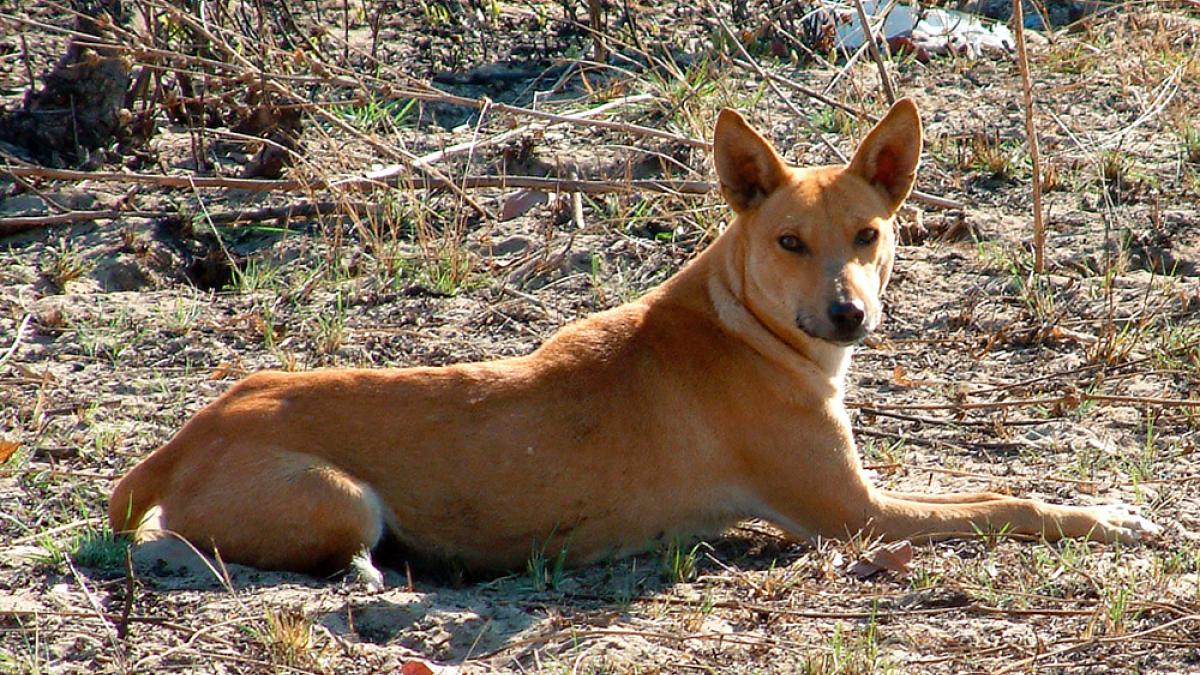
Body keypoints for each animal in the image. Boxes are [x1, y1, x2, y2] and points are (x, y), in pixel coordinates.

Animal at [108, 98, 1156, 571]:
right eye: (789, 240)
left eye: (868, 234)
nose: (850, 313)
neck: (744, 321)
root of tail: (184, 435)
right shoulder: (855, 514)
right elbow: (1013, 501)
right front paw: (1105, 518)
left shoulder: (865, 494)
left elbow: (1002, 486)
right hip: (341, 502)